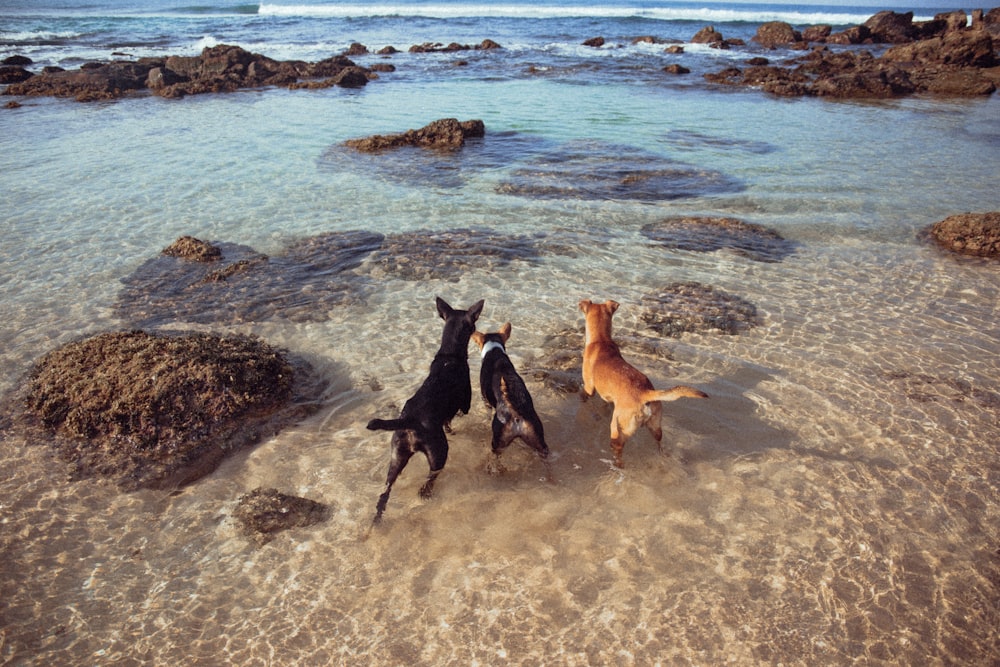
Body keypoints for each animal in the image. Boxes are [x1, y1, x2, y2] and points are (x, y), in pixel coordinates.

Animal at [368, 296, 484, 520]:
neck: (449, 356)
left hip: (397, 456)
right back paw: (425, 494)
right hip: (438, 452)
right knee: (429, 481)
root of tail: (410, 421)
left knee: (385, 492)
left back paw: (377, 520)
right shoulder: (465, 403)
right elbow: (456, 415)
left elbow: (448, 420)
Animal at [472, 320, 552, 468]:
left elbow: (487, 413)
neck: (494, 350)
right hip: (538, 439)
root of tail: (516, 414)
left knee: (495, 454)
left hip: (498, 442)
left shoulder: (484, 399)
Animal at [576, 300, 708, 468]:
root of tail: (645, 392)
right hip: (656, 426)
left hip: (618, 426)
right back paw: (663, 455)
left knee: (618, 446)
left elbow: (585, 393)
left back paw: (617, 463)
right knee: (659, 442)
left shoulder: (589, 387)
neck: (601, 340)